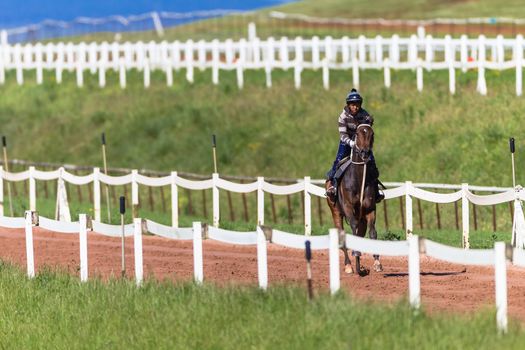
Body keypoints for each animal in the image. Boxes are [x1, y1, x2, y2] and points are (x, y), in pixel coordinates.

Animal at [324, 123, 380, 276]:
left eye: (372, 134)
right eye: (357, 133)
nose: (365, 153)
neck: (359, 179)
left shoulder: (370, 209)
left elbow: (372, 233)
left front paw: (377, 263)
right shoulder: (348, 208)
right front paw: (355, 261)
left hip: (361, 217)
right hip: (335, 212)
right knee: (342, 236)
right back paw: (349, 265)